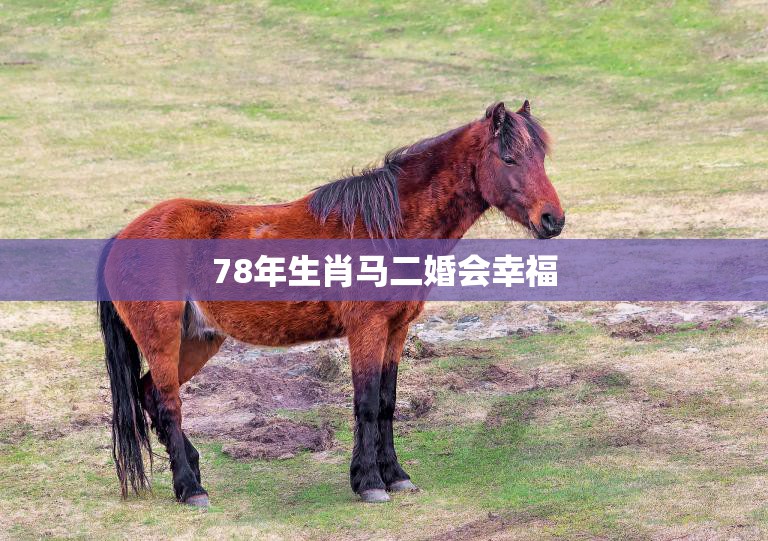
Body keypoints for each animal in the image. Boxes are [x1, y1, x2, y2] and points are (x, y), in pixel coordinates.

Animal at [97, 100, 565, 507]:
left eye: (540, 157)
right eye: (509, 158)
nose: (552, 220)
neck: (387, 227)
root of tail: (124, 235)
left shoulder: (396, 330)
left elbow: (388, 402)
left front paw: (395, 476)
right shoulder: (367, 331)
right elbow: (367, 402)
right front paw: (370, 483)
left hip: (197, 341)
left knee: (151, 395)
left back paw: (191, 474)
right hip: (163, 340)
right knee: (169, 405)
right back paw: (191, 489)